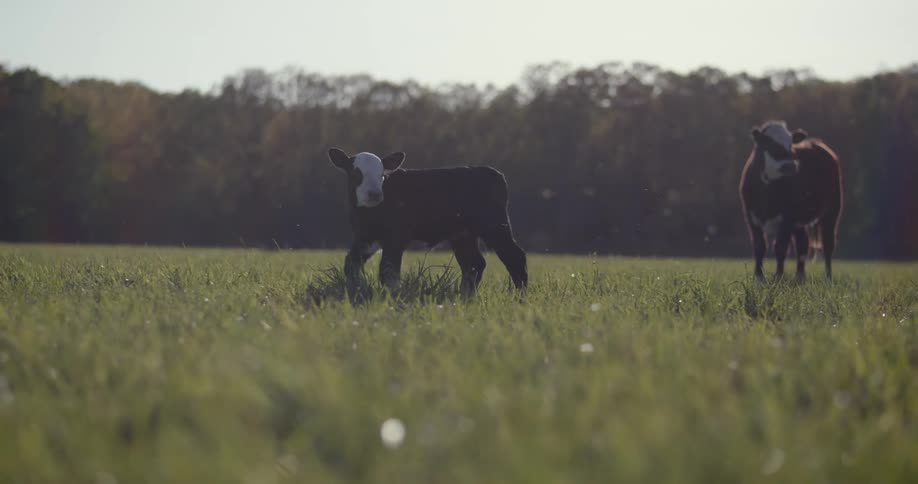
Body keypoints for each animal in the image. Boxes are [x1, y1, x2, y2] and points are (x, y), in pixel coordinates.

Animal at [327, 148, 528, 295]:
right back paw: (465, 295)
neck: (369, 214)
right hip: (463, 234)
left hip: (495, 226)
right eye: (356, 173)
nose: (374, 194)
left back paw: (520, 296)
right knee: (474, 264)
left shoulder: (396, 237)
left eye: (382, 175)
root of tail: (493, 172)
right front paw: (355, 288)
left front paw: (393, 295)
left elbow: (388, 270)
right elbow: (351, 264)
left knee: (514, 256)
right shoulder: (364, 237)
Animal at [739, 121, 843, 281]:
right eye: (769, 144)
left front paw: (778, 276)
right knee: (803, 244)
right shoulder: (751, 218)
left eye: (790, 145)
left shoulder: (787, 218)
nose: (790, 165)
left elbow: (780, 247)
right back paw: (800, 276)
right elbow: (759, 246)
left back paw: (828, 276)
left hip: (832, 210)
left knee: (828, 244)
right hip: (800, 221)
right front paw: (759, 276)